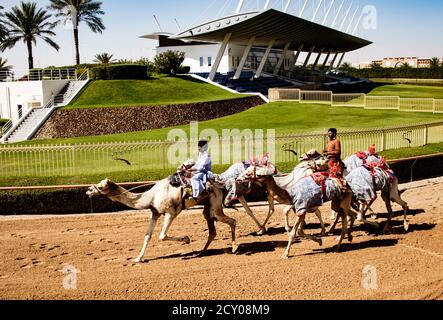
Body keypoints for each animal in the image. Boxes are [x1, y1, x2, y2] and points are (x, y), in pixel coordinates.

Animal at [87, 178, 239, 262]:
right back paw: (201, 252)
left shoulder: (170, 213)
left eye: (100, 186)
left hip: (215, 204)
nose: (88, 190)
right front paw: (138, 258)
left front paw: (186, 239)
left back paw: (234, 248)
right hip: (208, 207)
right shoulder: (155, 213)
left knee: (232, 221)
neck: (151, 197)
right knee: (212, 230)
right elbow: (147, 236)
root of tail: (221, 186)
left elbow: (162, 236)